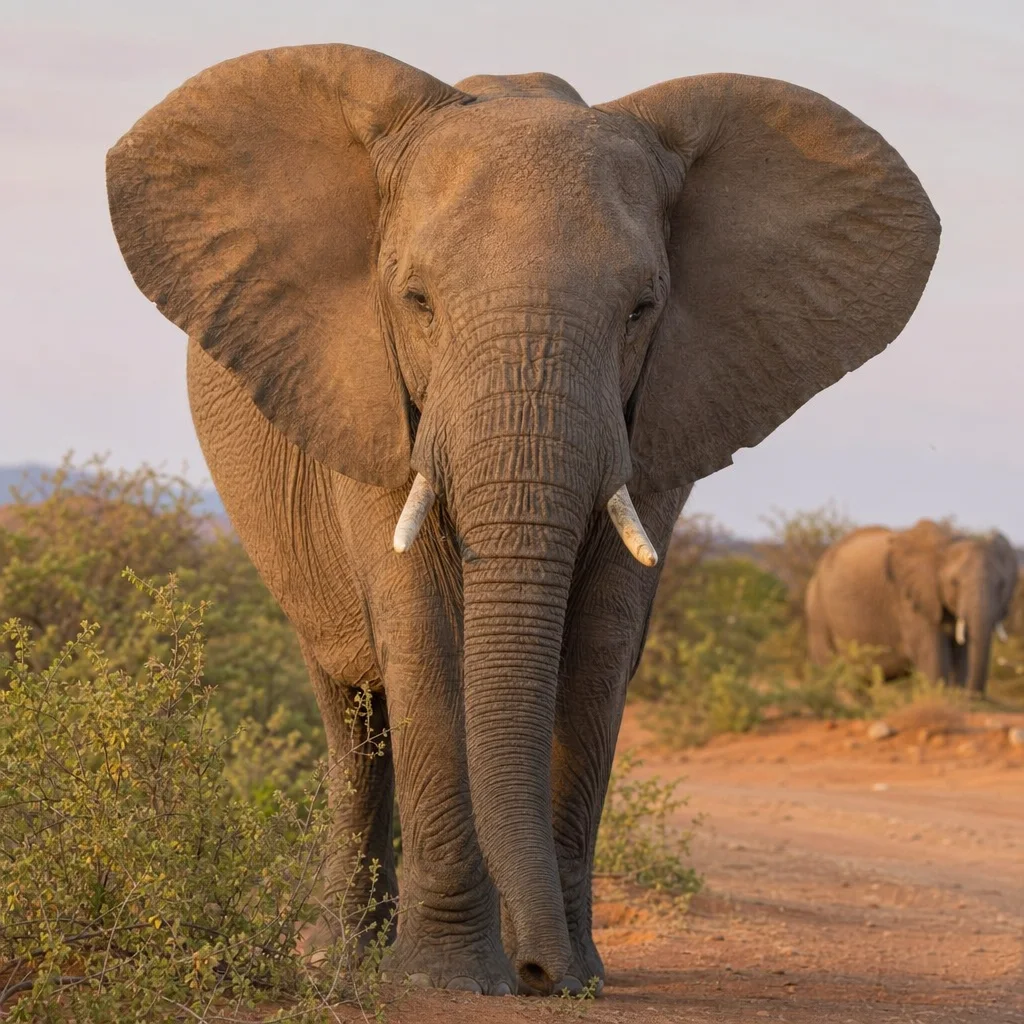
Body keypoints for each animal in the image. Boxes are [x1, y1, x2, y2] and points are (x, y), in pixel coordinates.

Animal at [105, 45, 939, 997]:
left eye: (642, 308)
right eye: (417, 300)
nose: (538, 969)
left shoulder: (660, 417)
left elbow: (600, 649)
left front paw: (573, 975)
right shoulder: (369, 397)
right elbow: (427, 639)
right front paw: (447, 982)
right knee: (353, 717)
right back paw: (348, 964)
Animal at [806, 520, 1018, 694]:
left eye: (1002, 585)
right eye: (954, 583)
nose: (974, 697)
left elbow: (961, 652)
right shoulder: (908, 599)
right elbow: (932, 656)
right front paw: (941, 697)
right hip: (817, 611)